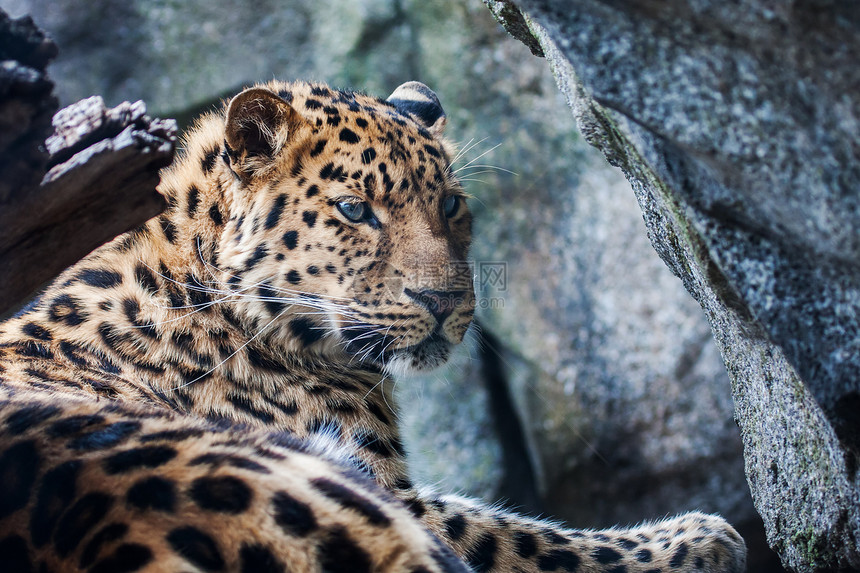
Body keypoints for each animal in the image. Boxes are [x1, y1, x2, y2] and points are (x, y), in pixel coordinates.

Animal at [0, 80, 744, 572]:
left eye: (450, 205)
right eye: (355, 209)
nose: (444, 300)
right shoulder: (394, 494)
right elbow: (523, 536)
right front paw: (700, 539)